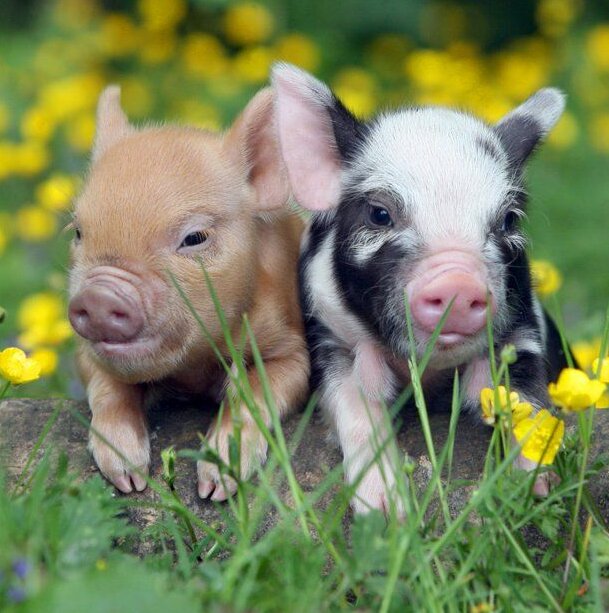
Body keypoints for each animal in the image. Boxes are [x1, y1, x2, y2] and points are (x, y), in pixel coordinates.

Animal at [68, 85, 309, 500]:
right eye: (79, 232)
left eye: (194, 237)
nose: (99, 295)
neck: (193, 370)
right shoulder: (85, 353)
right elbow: (107, 386)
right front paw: (129, 477)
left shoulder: (293, 348)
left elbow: (259, 387)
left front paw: (216, 487)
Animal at [271, 63, 569, 514]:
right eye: (379, 214)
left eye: (509, 220)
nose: (458, 283)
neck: (430, 376)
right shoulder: (326, 336)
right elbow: (353, 400)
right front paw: (385, 510)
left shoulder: (524, 329)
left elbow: (524, 393)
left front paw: (538, 484)